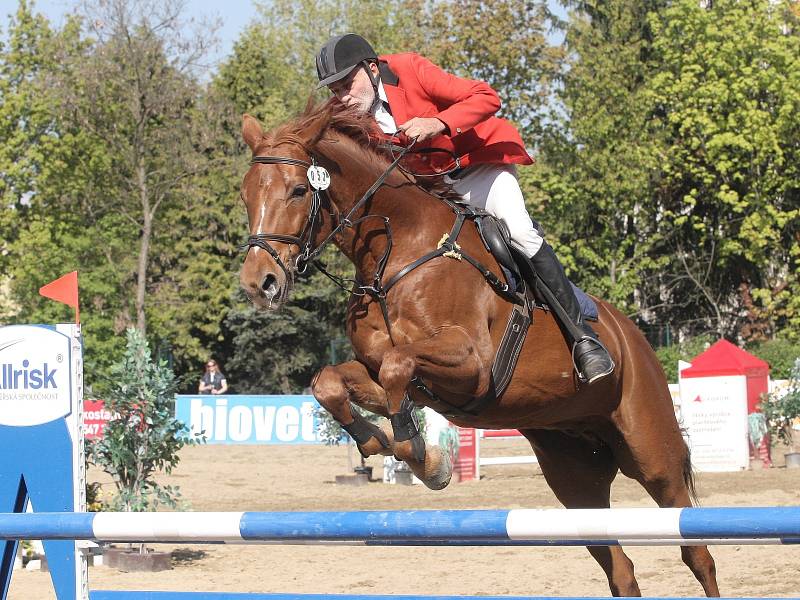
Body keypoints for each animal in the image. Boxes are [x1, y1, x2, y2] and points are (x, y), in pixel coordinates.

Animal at [236, 103, 720, 596]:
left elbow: (397, 366)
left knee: (695, 550)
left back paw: (594, 358)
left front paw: (421, 456)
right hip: (573, 477)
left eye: (299, 190)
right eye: (245, 195)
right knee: (620, 569)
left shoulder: (473, 365)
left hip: (652, 454)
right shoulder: (390, 373)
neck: (397, 251)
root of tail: (635, 337)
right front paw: (383, 442)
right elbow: (331, 382)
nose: (259, 284)